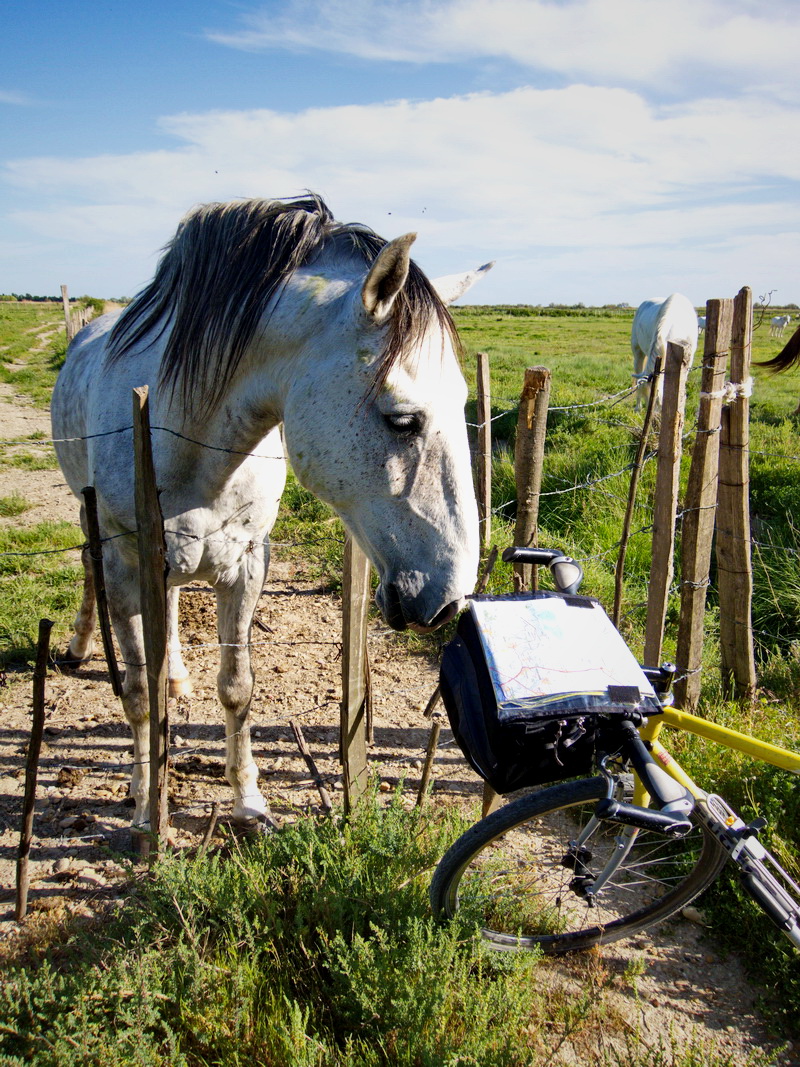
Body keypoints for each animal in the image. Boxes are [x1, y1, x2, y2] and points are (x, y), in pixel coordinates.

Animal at [51, 194, 493, 831]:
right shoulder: (125, 566)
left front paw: (248, 801)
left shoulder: (245, 565)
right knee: (93, 579)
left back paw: (176, 672)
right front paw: (143, 805)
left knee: (174, 607)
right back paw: (83, 644)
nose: (449, 599)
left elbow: (237, 687)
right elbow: (135, 694)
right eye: (403, 419)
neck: (184, 438)